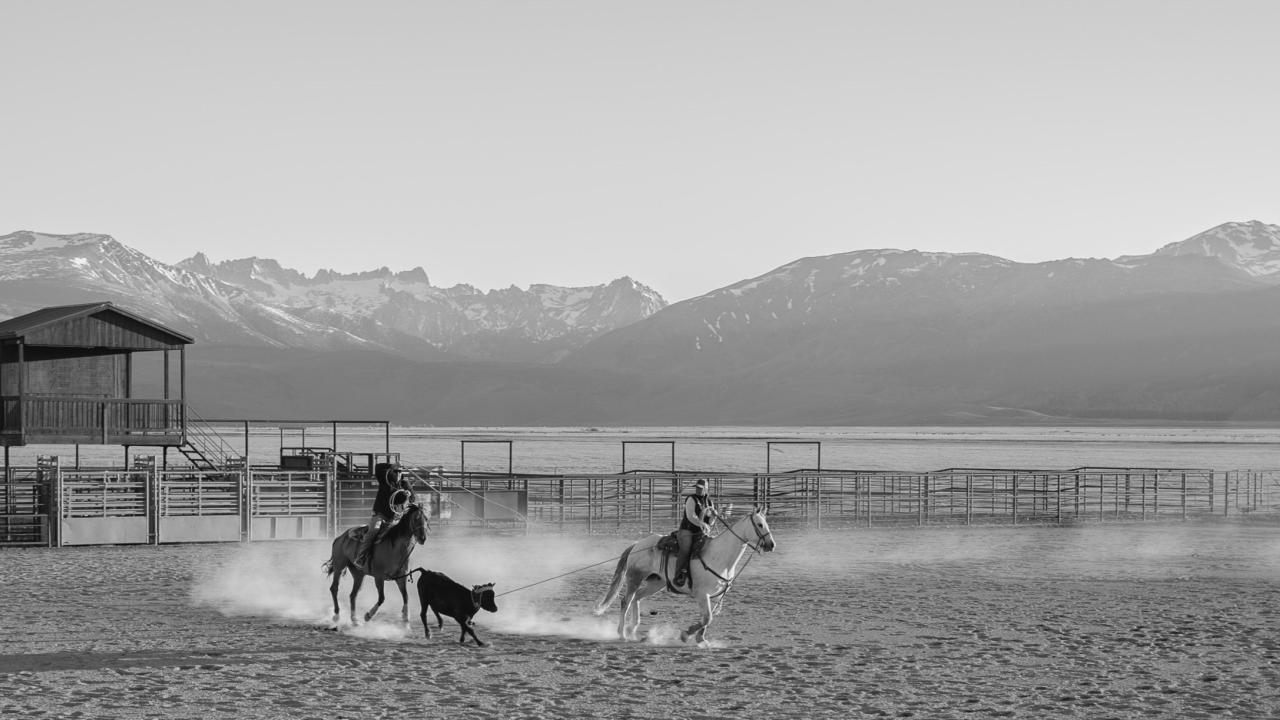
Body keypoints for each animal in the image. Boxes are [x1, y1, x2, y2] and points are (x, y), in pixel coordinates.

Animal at [593, 504, 773, 638]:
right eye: (759, 524)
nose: (771, 545)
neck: (720, 556)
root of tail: (637, 544)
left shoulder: (715, 596)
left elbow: (708, 618)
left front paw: (700, 639)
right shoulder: (702, 594)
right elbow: (707, 618)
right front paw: (688, 634)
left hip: (657, 582)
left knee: (637, 597)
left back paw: (632, 629)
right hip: (634, 578)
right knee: (626, 601)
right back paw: (621, 633)